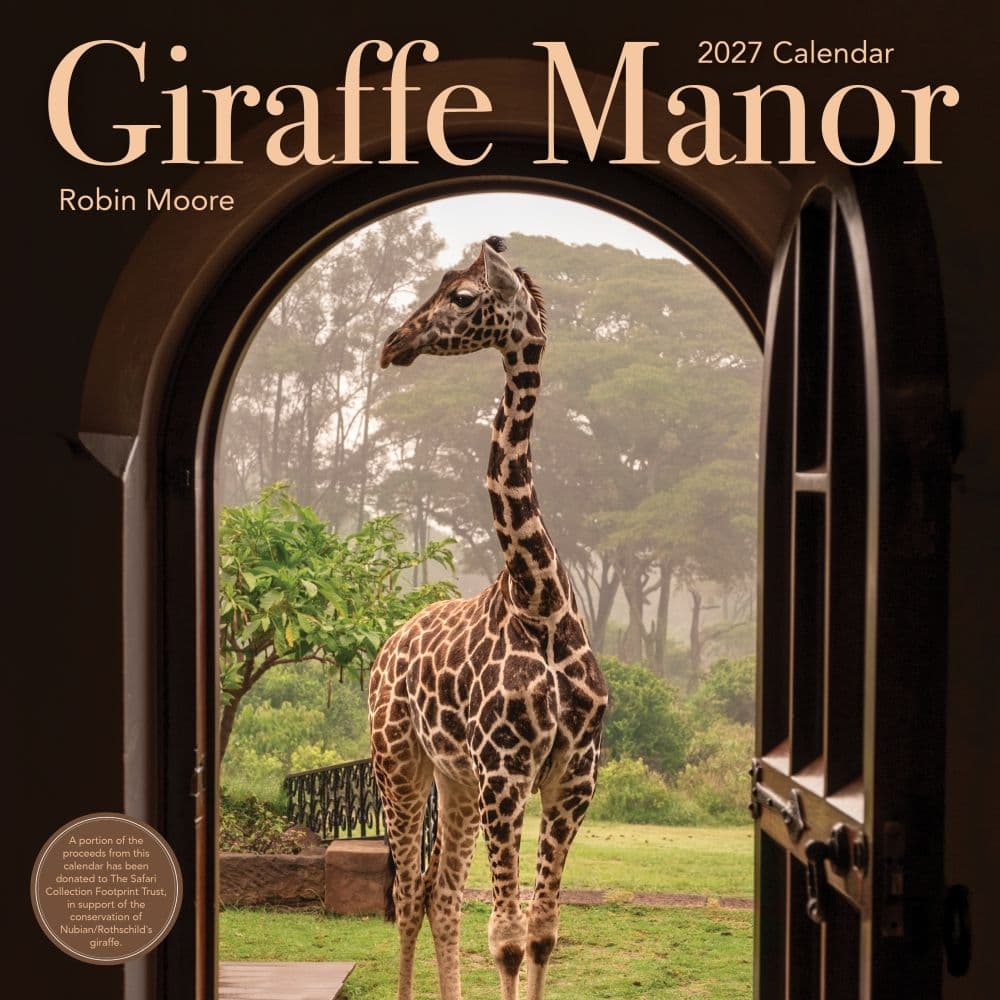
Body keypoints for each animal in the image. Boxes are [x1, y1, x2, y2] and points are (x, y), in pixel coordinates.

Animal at [369, 237, 607, 1000]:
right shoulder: (507, 770)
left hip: (458, 781)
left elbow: (541, 934)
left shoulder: (570, 779)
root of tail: (388, 644)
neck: (541, 601)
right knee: (408, 891)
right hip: (399, 760)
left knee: (440, 891)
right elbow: (504, 938)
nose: (394, 343)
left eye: (464, 297)